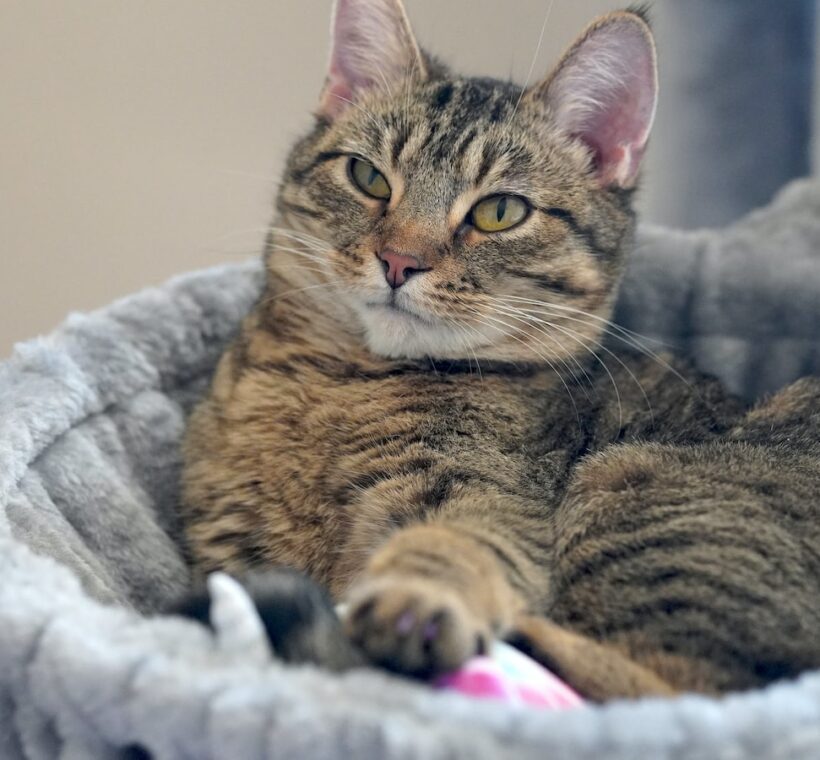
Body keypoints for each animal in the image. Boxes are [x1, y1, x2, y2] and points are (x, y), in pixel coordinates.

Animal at [178, 0, 820, 700]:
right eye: (368, 177)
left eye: (499, 212)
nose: (398, 261)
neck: (342, 382)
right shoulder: (230, 541)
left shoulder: (488, 502)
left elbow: (451, 547)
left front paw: (414, 601)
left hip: (633, 483)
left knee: (669, 688)